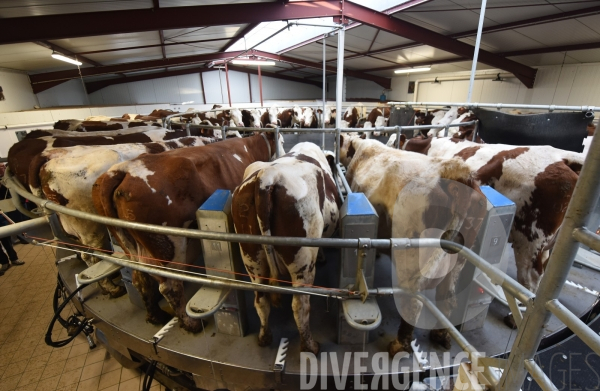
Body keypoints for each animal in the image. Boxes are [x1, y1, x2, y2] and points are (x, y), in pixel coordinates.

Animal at [92, 133, 284, 332]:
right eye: (282, 141)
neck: (250, 146)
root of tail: (122, 170)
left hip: (131, 244)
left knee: (140, 278)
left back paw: (155, 316)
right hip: (170, 244)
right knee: (170, 286)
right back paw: (190, 323)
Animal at [340, 136, 486, 356]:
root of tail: (456, 172)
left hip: (409, 249)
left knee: (414, 301)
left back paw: (399, 345)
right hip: (459, 256)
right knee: (448, 297)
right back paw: (440, 335)